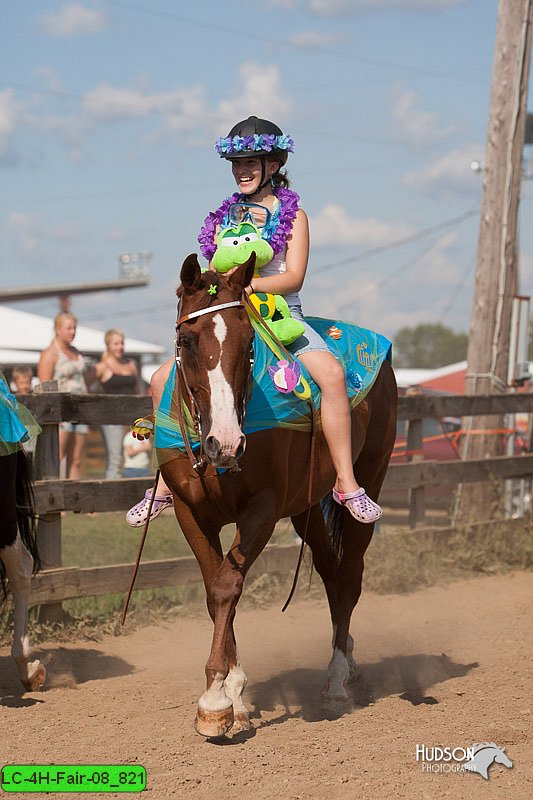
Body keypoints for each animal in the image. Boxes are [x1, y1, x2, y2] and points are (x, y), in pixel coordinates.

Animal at [160, 256, 396, 736]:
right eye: (187, 340)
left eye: (250, 339)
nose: (226, 443)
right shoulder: (191, 514)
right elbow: (214, 593)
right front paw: (233, 696)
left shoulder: (263, 511)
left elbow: (227, 587)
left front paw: (215, 698)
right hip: (307, 507)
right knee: (330, 573)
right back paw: (348, 662)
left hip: (370, 476)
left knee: (349, 576)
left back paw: (336, 680)